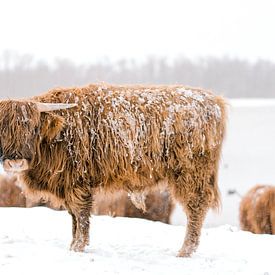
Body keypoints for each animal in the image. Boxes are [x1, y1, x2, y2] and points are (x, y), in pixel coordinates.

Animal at [0, 84, 227, 258]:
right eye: (2, 130)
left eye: (33, 129)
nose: (15, 162)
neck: (56, 137)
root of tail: (213, 100)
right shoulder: (67, 185)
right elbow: (74, 217)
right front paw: (72, 246)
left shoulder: (77, 183)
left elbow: (81, 215)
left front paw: (78, 247)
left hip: (191, 172)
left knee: (196, 207)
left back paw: (185, 251)